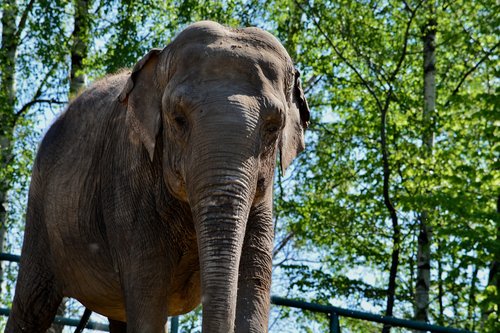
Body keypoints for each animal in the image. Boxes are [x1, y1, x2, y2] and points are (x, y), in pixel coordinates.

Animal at [6, 20, 308, 332]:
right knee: (32, 304)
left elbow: (254, 282)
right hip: (40, 206)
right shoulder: (128, 182)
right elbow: (148, 296)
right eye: (178, 118)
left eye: (274, 126)